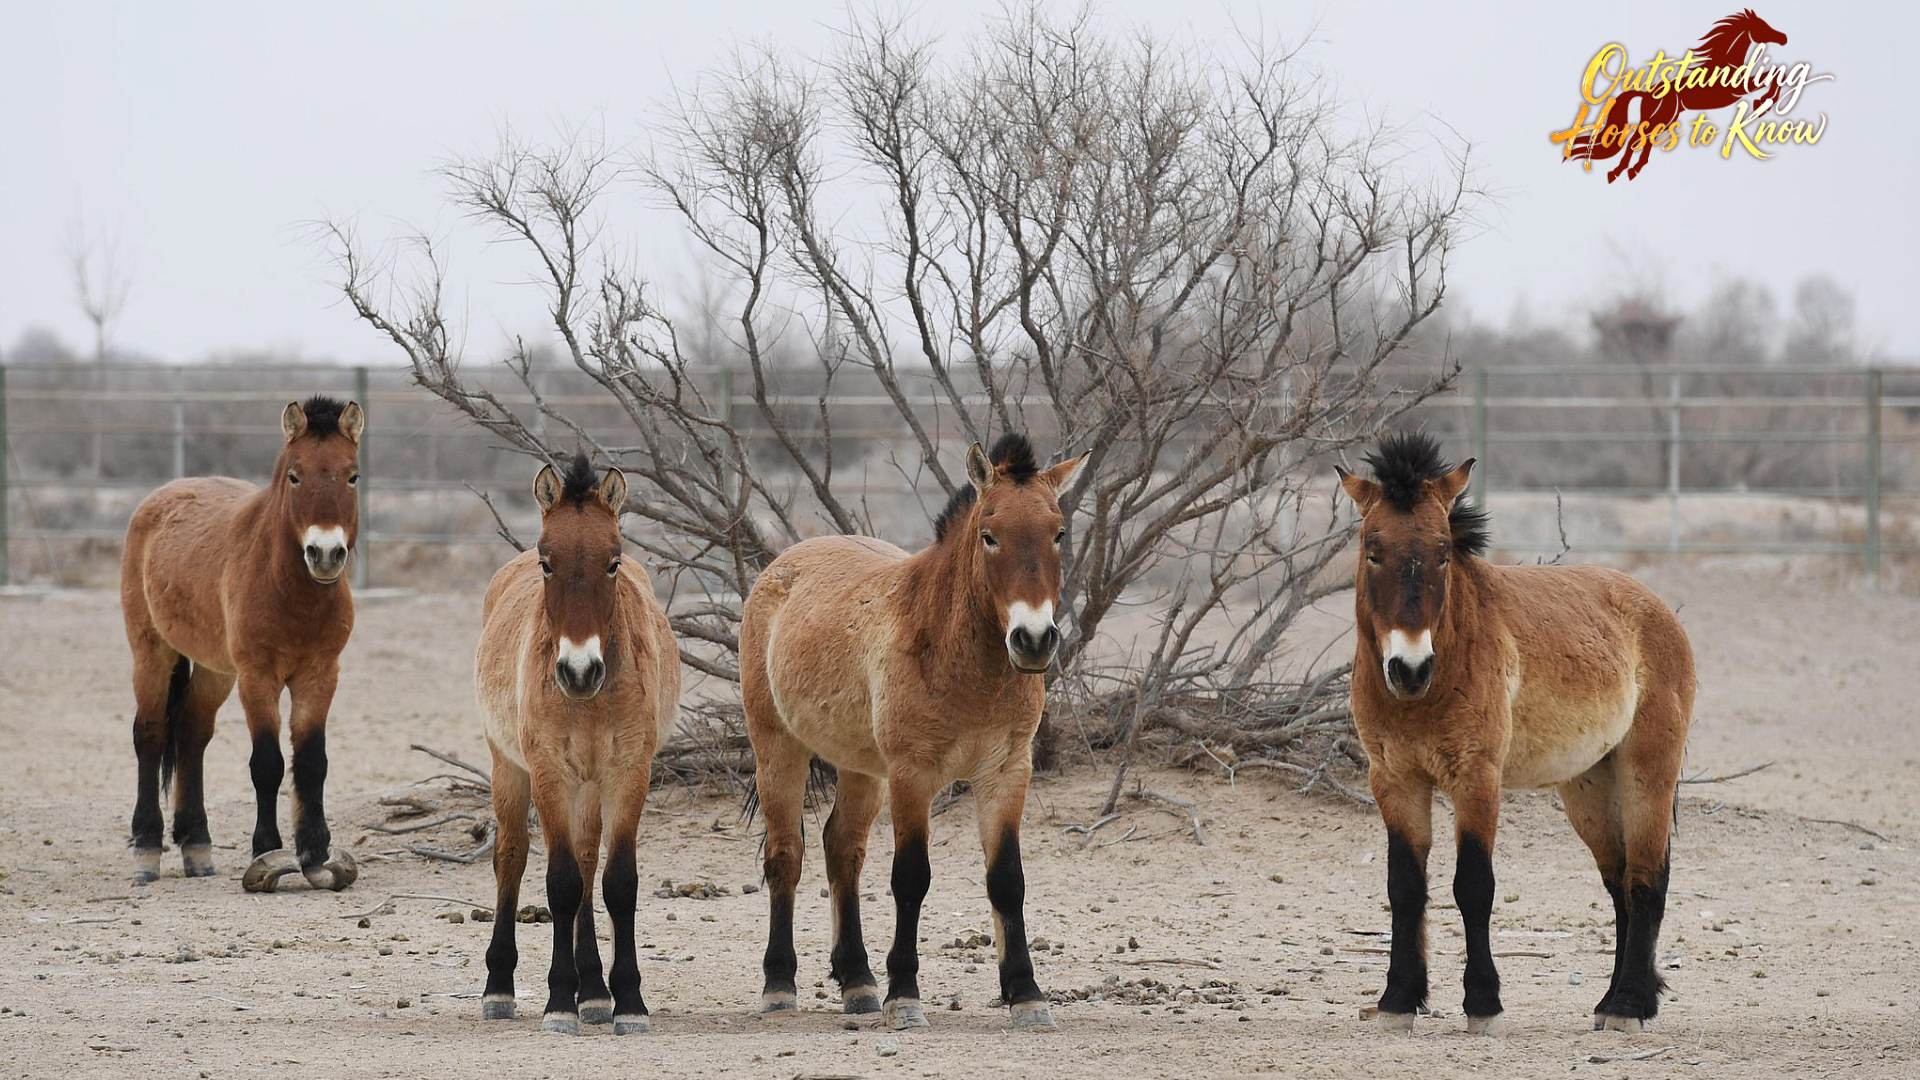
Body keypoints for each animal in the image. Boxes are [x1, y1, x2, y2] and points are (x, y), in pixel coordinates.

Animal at [120, 396, 364, 890]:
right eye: (295, 475)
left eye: (352, 476)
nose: (326, 554)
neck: (290, 591)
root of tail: (158, 499)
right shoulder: (258, 676)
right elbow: (267, 763)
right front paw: (267, 852)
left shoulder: (319, 674)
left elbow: (311, 762)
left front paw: (314, 853)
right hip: (151, 653)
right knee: (150, 735)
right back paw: (148, 849)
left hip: (215, 671)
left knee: (192, 732)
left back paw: (197, 845)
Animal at [474, 454, 680, 1036]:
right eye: (548, 562)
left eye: (614, 562)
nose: (579, 671)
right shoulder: (549, 772)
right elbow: (561, 882)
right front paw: (558, 1003)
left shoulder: (629, 773)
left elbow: (616, 883)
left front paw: (626, 1001)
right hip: (508, 769)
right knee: (512, 857)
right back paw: (500, 988)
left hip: (590, 789)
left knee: (590, 864)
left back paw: (594, 992)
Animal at [739, 434, 1084, 1032]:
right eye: (989, 535)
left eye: (1058, 533)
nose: (1034, 640)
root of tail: (782, 565)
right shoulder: (912, 774)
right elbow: (911, 877)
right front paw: (904, 995)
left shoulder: (1006, 772)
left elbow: (1006, 879)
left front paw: (1026, 994)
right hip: (779, 749)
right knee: (786, 854)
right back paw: (780, 985)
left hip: (859, 768)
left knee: (842, 848)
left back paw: (857, 981)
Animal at [1336, 433, 1694, 1033]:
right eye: (1372, 550)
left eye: (1442, 552)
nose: (1410, 668)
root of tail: (1656, 609)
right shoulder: (1394, 780)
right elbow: (1404, 888)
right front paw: (1398, 999)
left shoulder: (1477, 778)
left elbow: (1473, 887)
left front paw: (1482, 1004)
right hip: (1588, 788)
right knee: (1618, 882)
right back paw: (1611, 1001)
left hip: (1647, 770)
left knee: (1646, 879)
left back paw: (1629, 1006)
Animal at [1567, 9, 1787, 182]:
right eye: (1762, 26)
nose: (1784, 38)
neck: (1725, 63)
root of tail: (1647, 94)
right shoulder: (1738, 89)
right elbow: (1773, 75)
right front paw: (1762, 103)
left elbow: (1776, 74)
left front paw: (1764, 102)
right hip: (1658, 118)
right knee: (1635, 140)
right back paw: (1617, 172)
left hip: (1664, 119)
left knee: (1646, 140)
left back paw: (1633, 170)